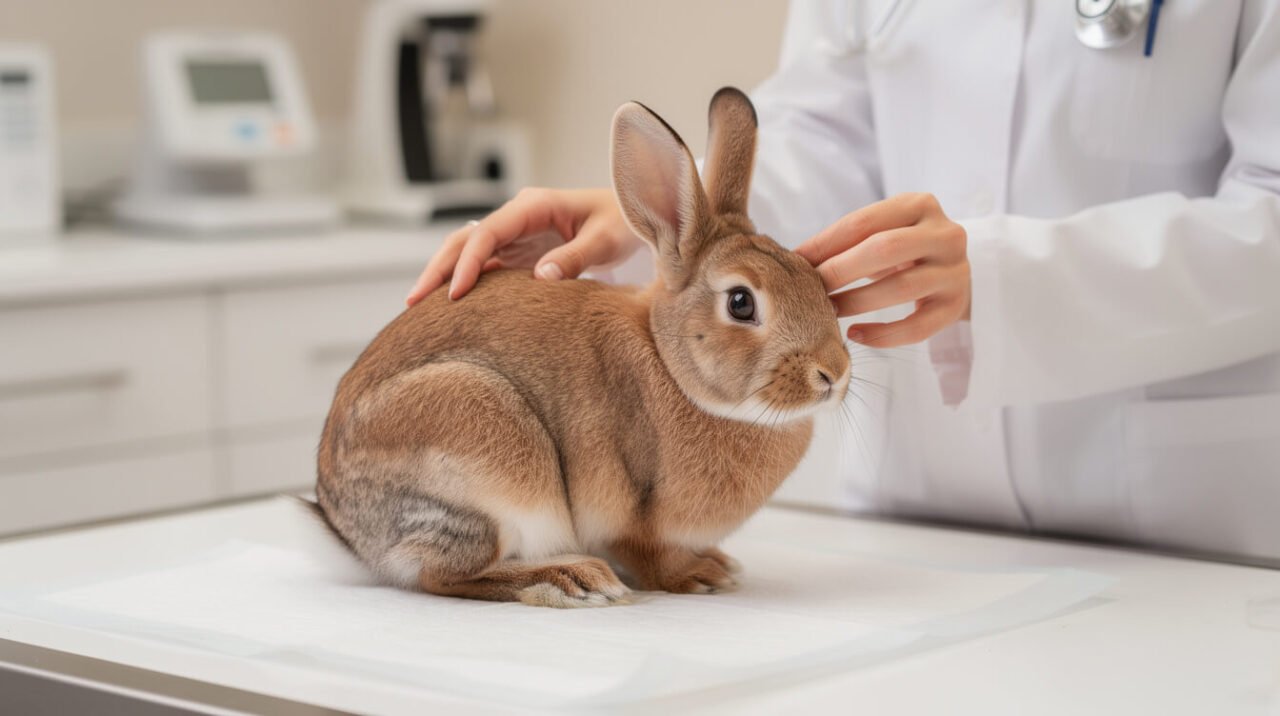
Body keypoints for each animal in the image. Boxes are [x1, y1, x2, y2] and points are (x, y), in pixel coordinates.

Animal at [311, 87, 851, 608]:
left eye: (816, 281)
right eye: (741, 303)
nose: (834, 373)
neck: (672, 365)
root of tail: (344, 522)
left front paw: (718, 564)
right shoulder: (638, 520)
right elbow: (652, 556)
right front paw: (702, 576)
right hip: (483, 456)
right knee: (444, 576)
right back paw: (573, 580)